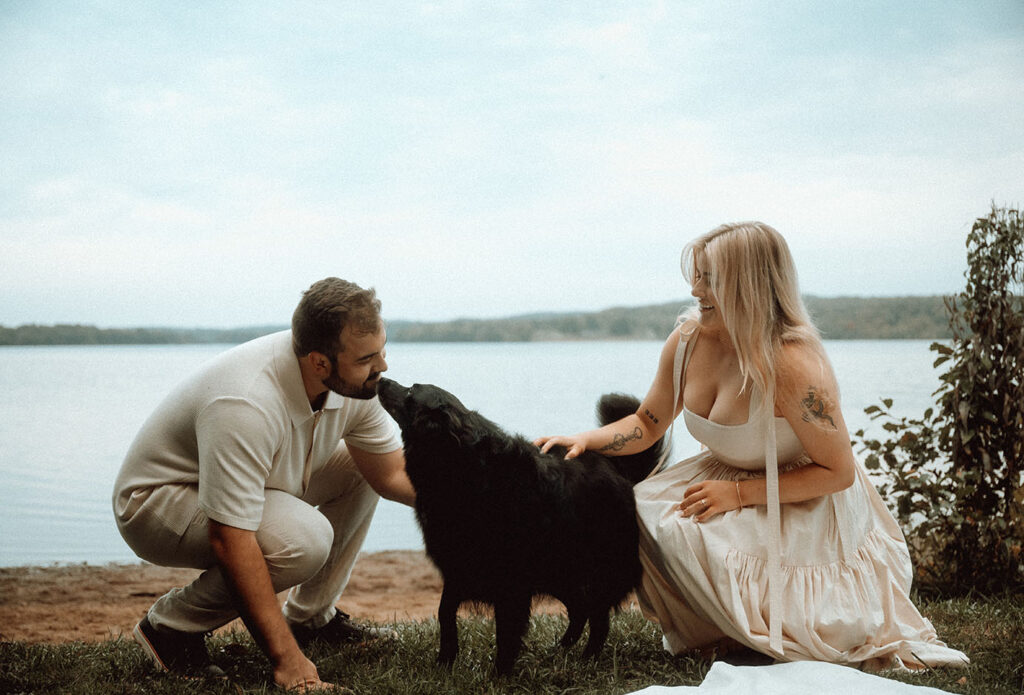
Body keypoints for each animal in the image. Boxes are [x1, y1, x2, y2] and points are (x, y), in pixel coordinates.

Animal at [376, 378, 663, 675]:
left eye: (411, 391)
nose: (381, 380)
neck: (465, 467)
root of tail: (621, 474)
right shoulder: (457, 567)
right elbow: (445, 613)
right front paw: (445, 661)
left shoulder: (511, 581)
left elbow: (506, 631)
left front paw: (499, 674)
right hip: (560, 572)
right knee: (579, 611)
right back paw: (561, 649)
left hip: (589, 574)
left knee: (598, 619)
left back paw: (587, 659)